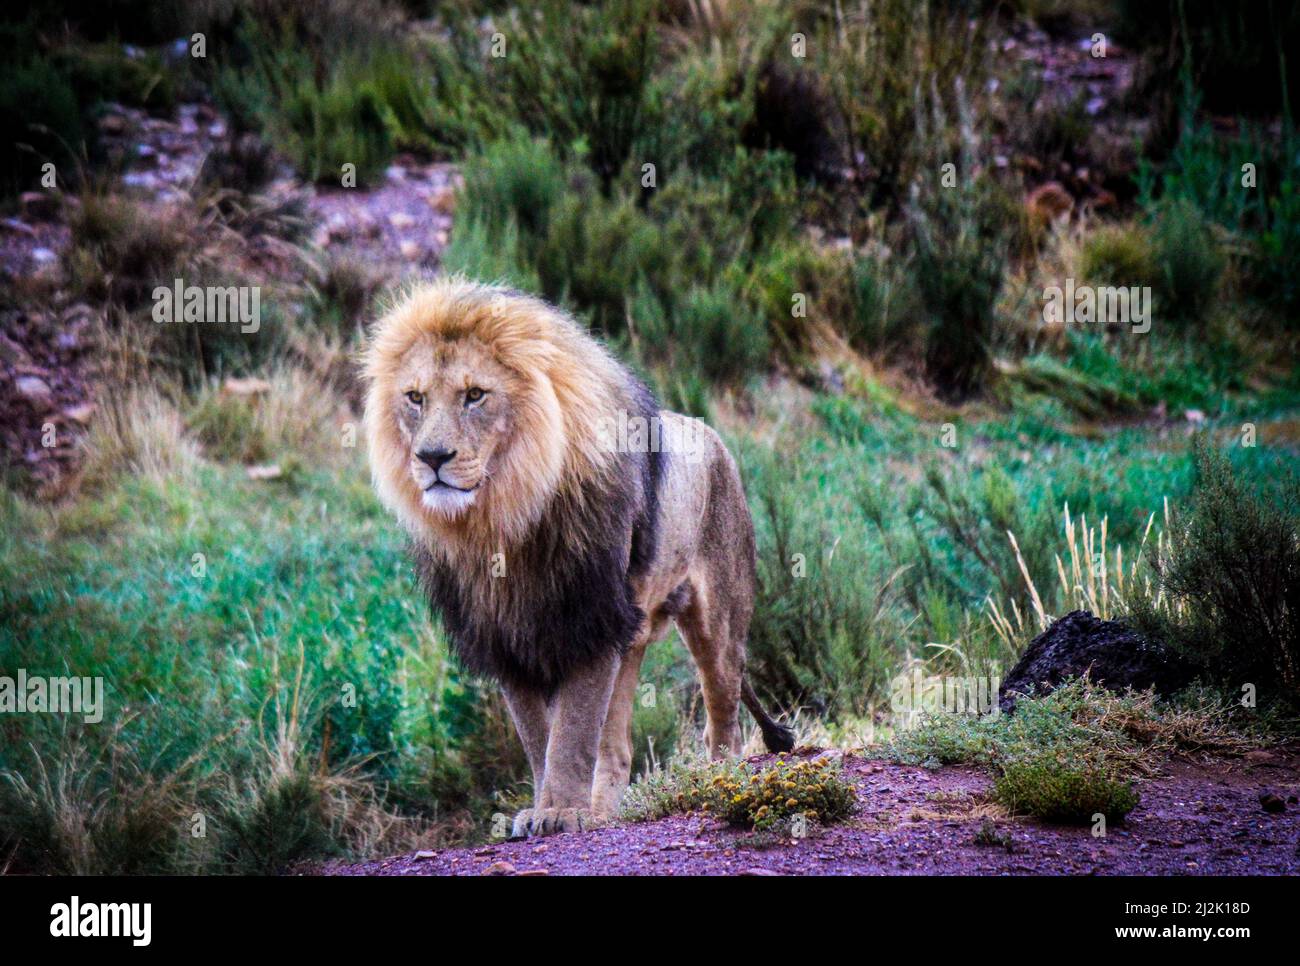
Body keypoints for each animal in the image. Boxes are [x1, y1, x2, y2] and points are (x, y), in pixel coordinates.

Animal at [361, 275, 795, 837]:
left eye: (475, 395)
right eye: (415, 398)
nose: (431, 458)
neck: (503, 521)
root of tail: (711, 434)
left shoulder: (592, 618)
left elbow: (570, 732)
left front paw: (561, 812)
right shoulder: (505, 638)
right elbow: (538, 736)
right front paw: (549, 808)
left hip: (717, 622)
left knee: (723, 713)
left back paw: (721, 778)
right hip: (632, 637)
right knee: (617, 748)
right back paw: (603, 811)